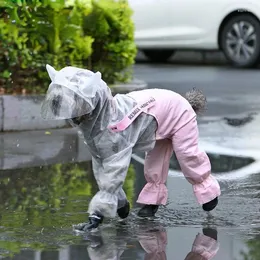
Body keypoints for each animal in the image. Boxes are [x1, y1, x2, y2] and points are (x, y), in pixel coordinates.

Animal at [41, 64, 220, 231]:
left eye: (75, 94)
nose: (56, 100)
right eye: (57, 88)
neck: (105, 118)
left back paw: (210, 201)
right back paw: (149, 208)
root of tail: (186, 100)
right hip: (160, 140)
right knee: (155, 169)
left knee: (189, 157)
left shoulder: (118, 153)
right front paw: (122, 207)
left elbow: (110, 183)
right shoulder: (100, 157)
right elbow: (106, 181)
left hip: (183, 129)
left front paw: (95, 219)